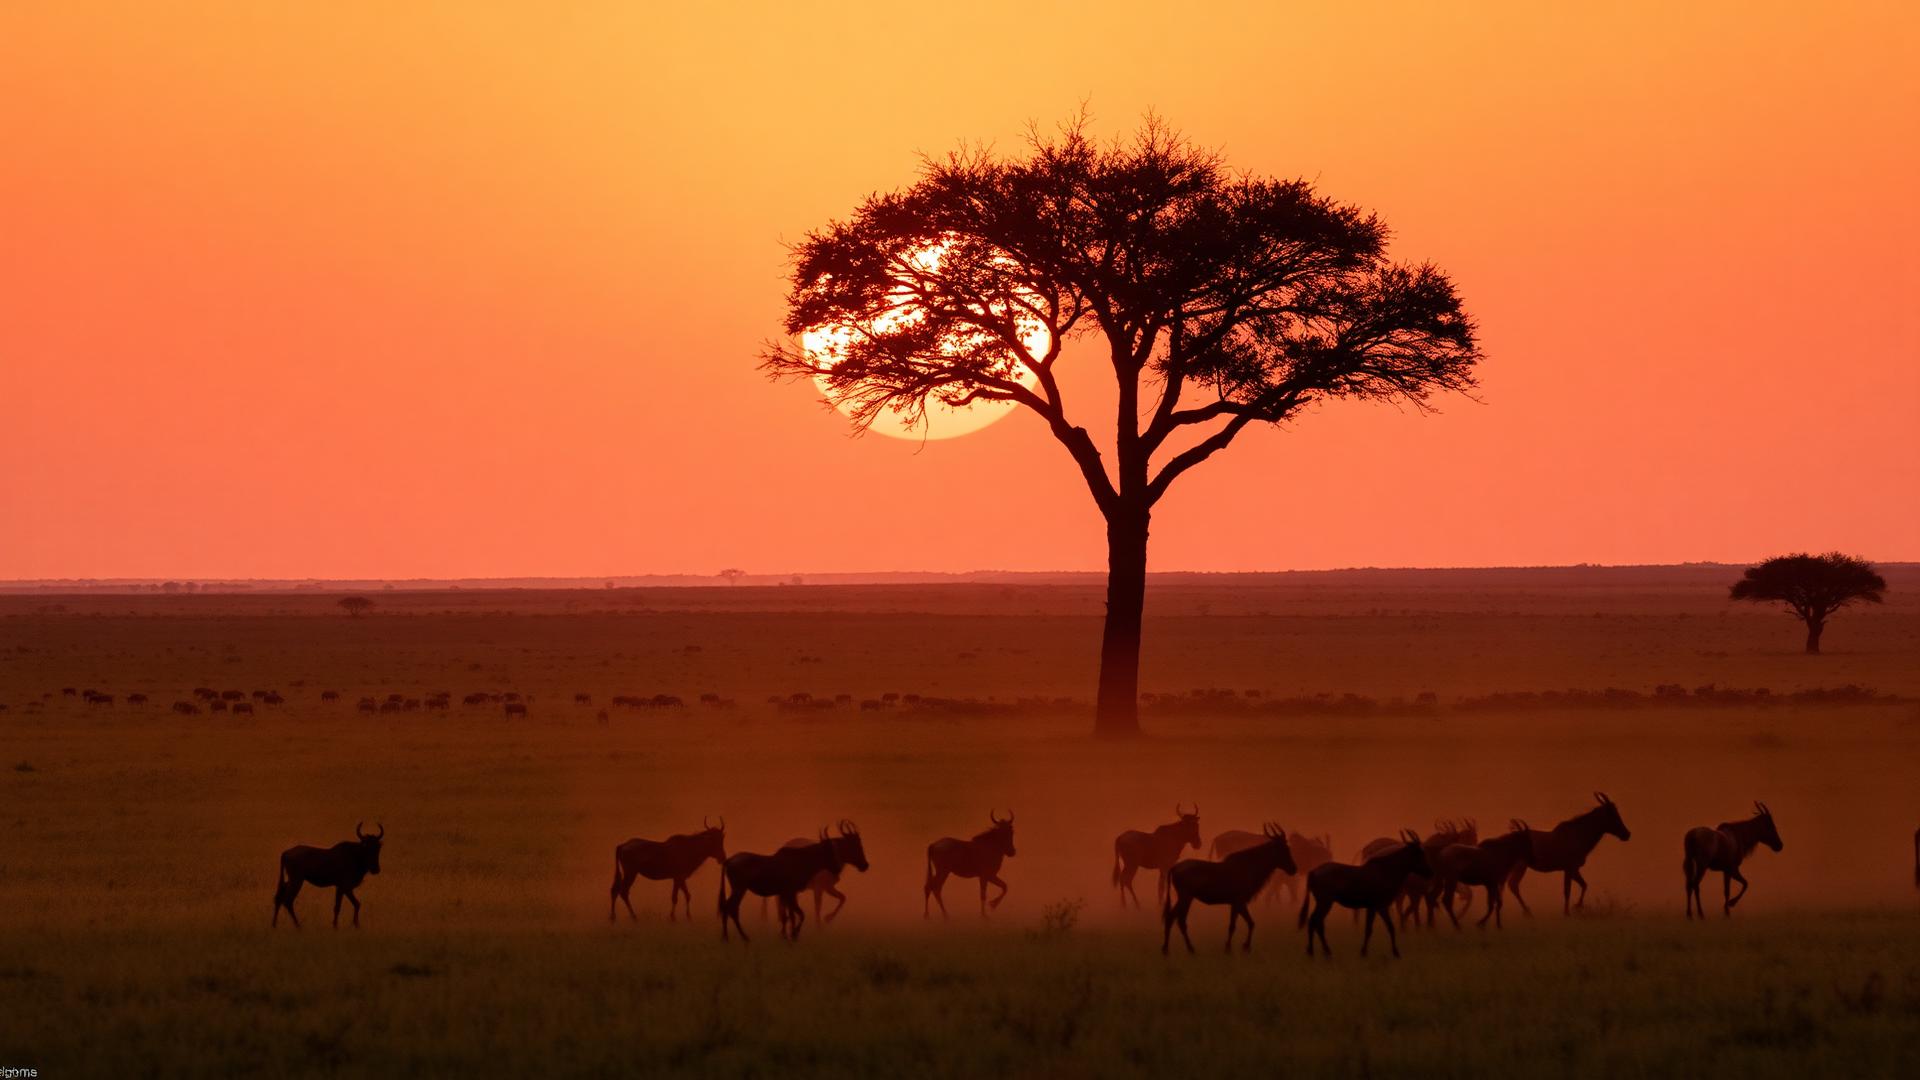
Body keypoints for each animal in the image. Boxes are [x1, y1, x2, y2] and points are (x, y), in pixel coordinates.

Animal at [719, 822, 866, 943]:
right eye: (830, 850)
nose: (837, 869)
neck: (801, 860)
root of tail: (728, 861)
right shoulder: (792, 892)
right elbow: (799, 914)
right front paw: (794, 934)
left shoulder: (790, 893)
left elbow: (791, 915)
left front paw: (788, 935)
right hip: (739, 889)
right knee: (731, 908)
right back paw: (740, 937)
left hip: (739, 889)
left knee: (728, 907)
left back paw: (728, 937)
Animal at [1163, 823, 1296, 954]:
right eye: (1285, 849)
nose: (1293, 869)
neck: (1251, 867)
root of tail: (1174, 868)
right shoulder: (1239, 901)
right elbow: (1239, 925)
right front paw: (1234, 947)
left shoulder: (1236, 903)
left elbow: (1246, 923)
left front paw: (1240, 946)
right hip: (1186, 897)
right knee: (1178, 920)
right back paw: (1187, 948)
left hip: (1184, 898)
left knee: (1172, 918)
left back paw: (1168, 948)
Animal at [1300, 831, 1431, 959]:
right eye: (1418, 853)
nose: (1429, 872)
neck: (1387, 871)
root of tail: (1313, 872)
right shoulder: (1378, 906)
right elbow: (1375, 928)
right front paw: (1370, 952)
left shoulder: (1375, 907)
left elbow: (1384, 927)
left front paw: (1390, 952)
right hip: (1325, 902)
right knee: (1315, 921)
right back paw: (1315, 951)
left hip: (1323, 902)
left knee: (1316, 922)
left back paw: (1321, 951)